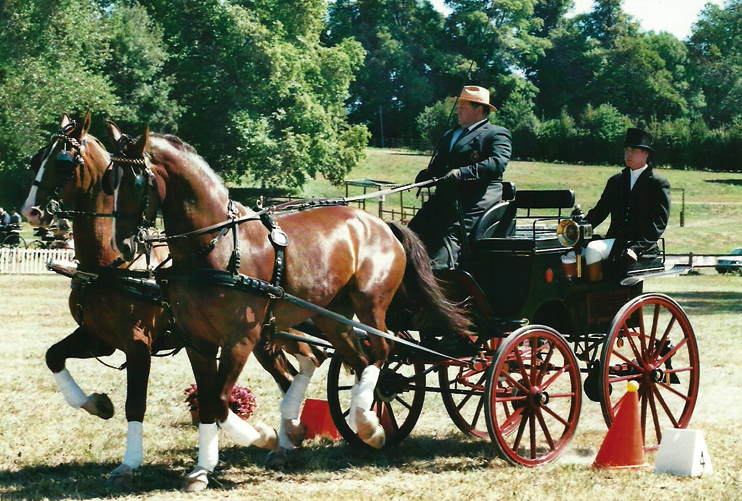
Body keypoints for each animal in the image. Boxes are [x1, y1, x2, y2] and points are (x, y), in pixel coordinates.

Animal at [20, 112, 316, 484]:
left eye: (62, 162)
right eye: (36, 159)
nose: (31, 211)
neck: (112, 265)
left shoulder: (138, 343)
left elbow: (135, 403)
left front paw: (129, 463)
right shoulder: (98, 338)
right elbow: (53, 356)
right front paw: (96, 404)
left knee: (310, 360)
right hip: (265, 337)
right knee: (292, 373)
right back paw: (287, 440)